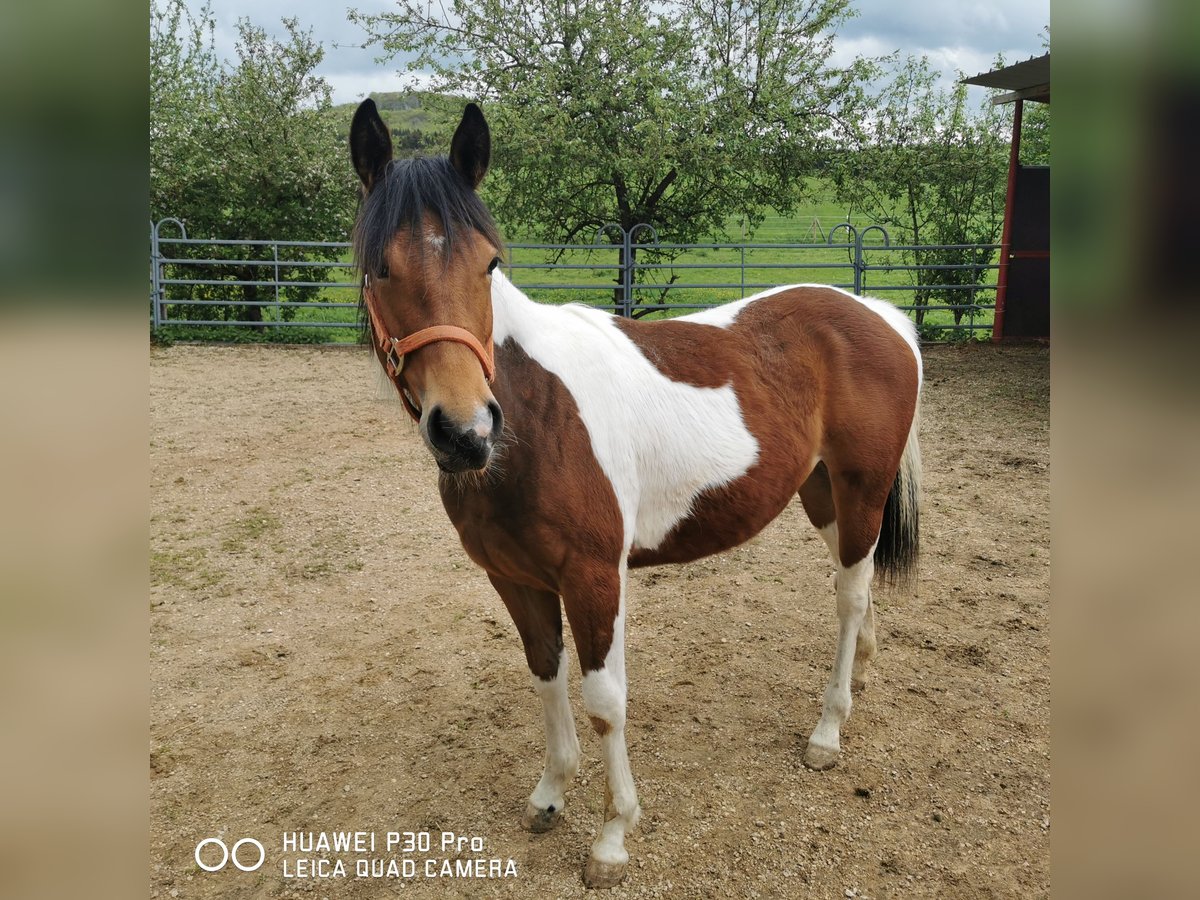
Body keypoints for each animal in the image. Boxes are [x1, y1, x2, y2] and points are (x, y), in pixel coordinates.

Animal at [348, 102, 916, 892]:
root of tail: (880, 316)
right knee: (855, 587)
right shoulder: (516, 580)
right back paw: (859, 677)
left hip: (861, 492)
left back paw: (828, 730)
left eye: (488, 263)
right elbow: (546, 676)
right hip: (823, 494)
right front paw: (550, 795)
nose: (465, 432)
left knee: (849, 597)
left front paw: (613, 836)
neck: (535, 418)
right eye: (379, 267)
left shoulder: (594, 577)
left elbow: (605, 703)